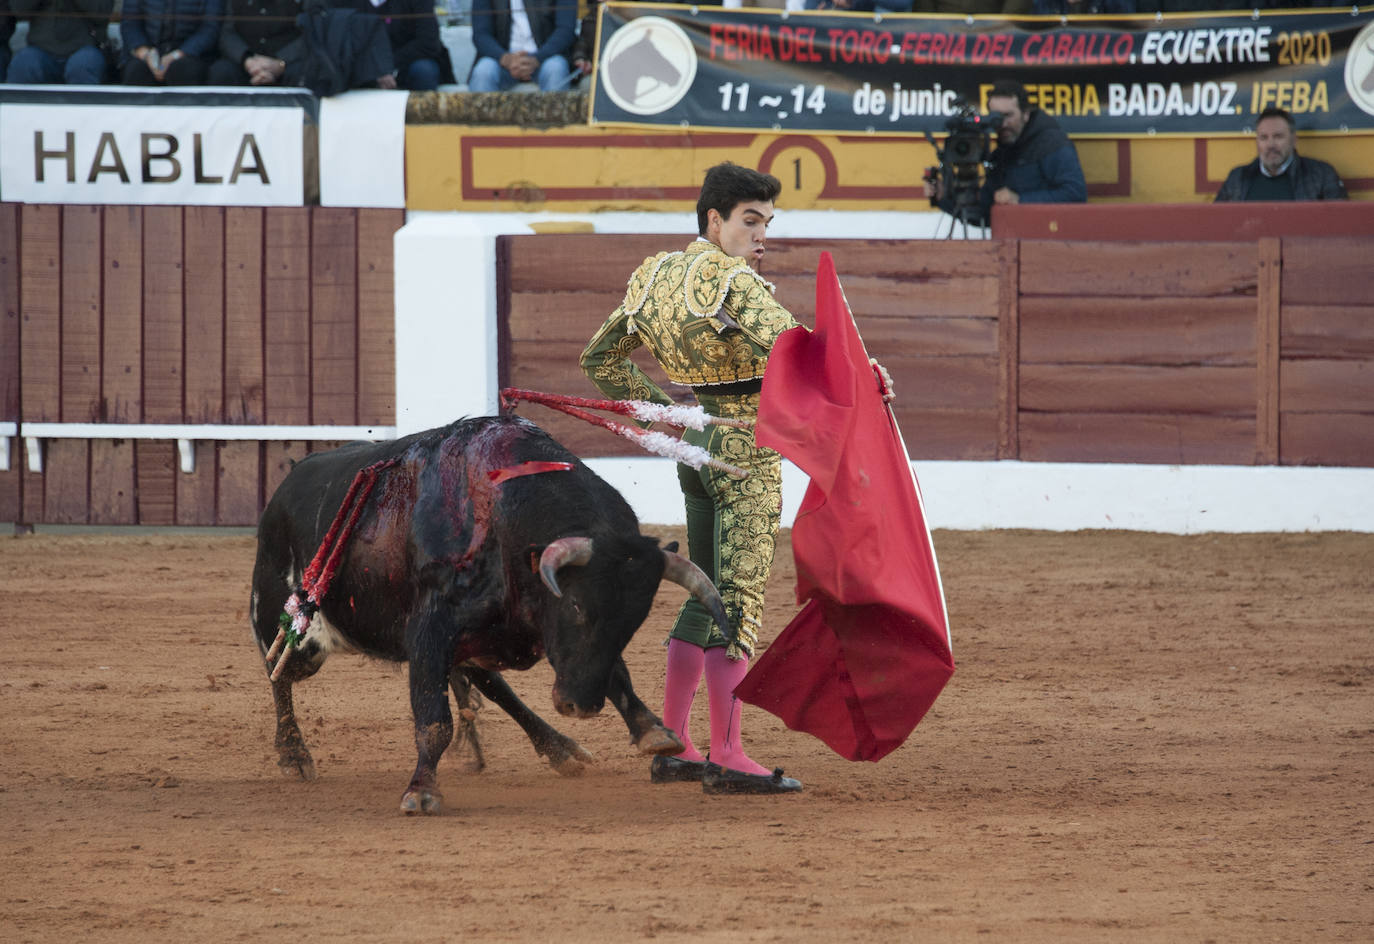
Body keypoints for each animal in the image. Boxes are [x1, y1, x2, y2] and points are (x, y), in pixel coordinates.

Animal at [250, 417, 730, 813]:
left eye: (635, 620)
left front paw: (653, 731)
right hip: (291, 627)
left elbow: (614, 671)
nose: (579, 705)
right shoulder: (430, 630)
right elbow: (434, 718)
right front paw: (421, 792)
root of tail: (285, 486)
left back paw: (560, 749)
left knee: (492, 684)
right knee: (279, 674)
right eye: (576, 604)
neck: (505, 526)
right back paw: (294, 755)